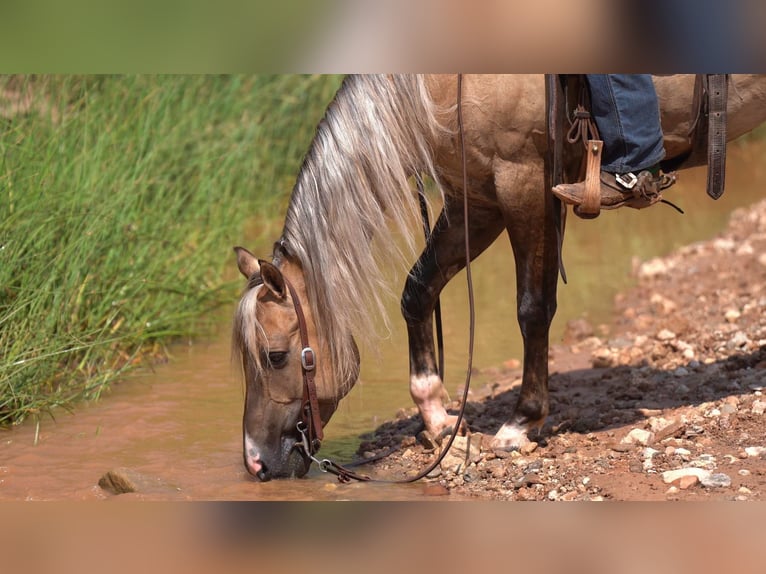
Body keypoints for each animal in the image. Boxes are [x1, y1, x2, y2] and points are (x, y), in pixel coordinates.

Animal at [232, 74, 766, 480]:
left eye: (275, 356)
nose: (256, 463)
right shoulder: (477, 200)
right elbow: (417, 290)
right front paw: (438, 421)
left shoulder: (524, 183)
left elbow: (533, 308)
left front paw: (521, 424)